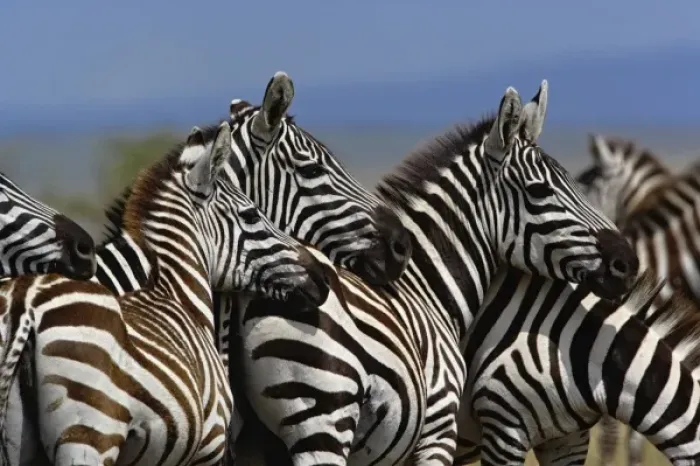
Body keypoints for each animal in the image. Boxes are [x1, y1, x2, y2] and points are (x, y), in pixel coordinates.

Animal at [0, 121, 332, 466]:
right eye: (252, 215)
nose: (323, 277)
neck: (178, 292)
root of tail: (25, 303)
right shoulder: (209, 447)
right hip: (90, 434)